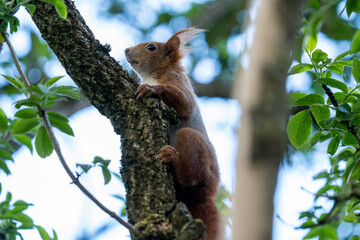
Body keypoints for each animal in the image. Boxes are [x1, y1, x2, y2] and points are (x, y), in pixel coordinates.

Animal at [124, 27, 219, 239]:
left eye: (151, 47)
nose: (126, 50)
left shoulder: (178, 82)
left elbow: (184, 102)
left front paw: (150, 89)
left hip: (190, 141)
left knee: (192, 177)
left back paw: (173, 158)